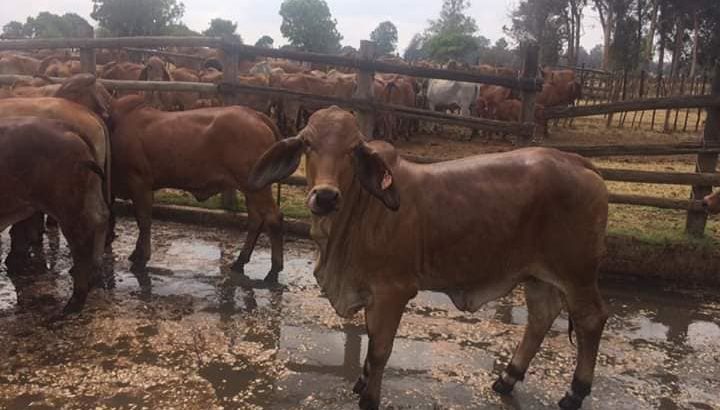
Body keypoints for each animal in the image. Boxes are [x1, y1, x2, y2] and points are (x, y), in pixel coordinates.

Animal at [0, 117, 109, 313]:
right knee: (101, 218)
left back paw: (75, 301)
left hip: (66, 210)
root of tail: (68, 128)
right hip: (90, 194)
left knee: (80, 246)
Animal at [108, 95, 284, 281]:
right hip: (251, 187)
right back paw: (241, 260)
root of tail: (257, 115)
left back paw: (274, 269)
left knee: (273, 218)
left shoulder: (140, 183)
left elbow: (144, 220)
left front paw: (141, 257)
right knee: (256, 219)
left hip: (257, 187)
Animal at [247, 106, 609, 410]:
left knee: (591, 319)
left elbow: (379, 350)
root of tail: (579, 162)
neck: (361, 211)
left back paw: (574, 392)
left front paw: (369, 397)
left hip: (577, 273)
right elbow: (370, 345)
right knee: (541, 317)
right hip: (538, 275)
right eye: (308, 143)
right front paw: (362, 381)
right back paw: (507, 378)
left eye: (352, 149)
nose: (325, 196)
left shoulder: (392, 292)